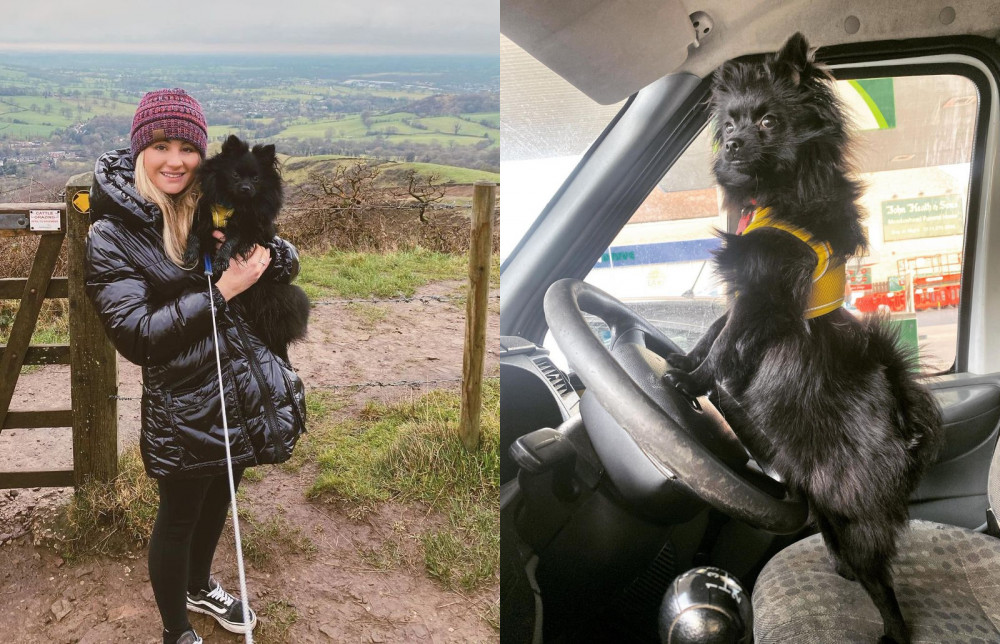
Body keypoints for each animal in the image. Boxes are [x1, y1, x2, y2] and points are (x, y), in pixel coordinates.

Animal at [186, 135, 310, 362]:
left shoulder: (250, 228)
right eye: (235, 175)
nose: (245, 188)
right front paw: (191, 251)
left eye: (256, 179)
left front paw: (222, 259)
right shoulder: (206, 221)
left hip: (279, 299)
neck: (235, 204)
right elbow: (195, 233)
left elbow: (234, 239)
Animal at [668, 32, 940, 640]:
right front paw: (682, 364)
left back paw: (889, 626)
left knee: (881, 581)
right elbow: (713, 332)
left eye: (768, 121)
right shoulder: (745, 294)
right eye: (731, 122)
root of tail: (905, 426)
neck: (778, 191)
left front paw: (692, 382)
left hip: (853, 511)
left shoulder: (763, 294)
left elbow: (725, 345)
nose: (734, 144)